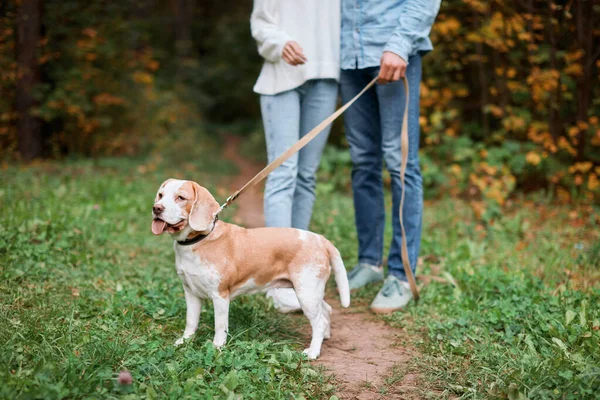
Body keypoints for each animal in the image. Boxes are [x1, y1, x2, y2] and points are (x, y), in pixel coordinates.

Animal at [151, 178, 352, 360]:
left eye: (180, 198)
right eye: (160, 195)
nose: (156, 208)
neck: (198, 240)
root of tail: (320, 239)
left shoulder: (220, 296)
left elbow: (220, 327)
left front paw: (217, 349)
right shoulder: (190, 292)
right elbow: (191, 322)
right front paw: (184, 342)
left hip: (306, 294)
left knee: (319, 322)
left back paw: (313, 352)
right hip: (311, 293)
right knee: (327, 311)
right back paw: (325, 337)